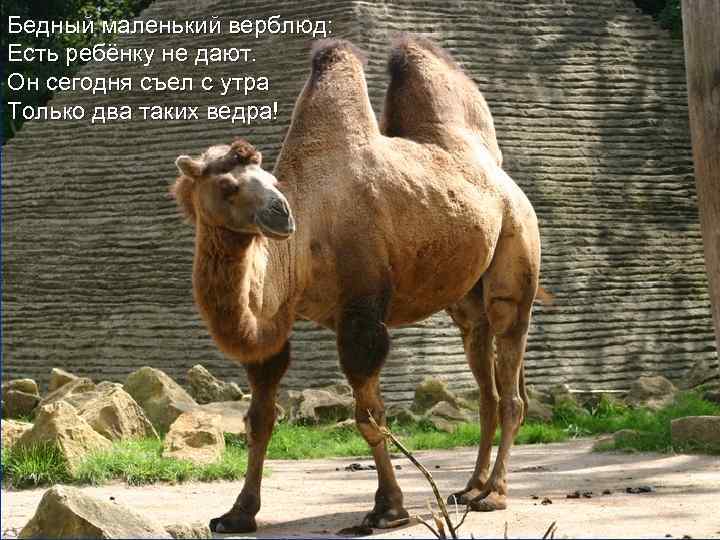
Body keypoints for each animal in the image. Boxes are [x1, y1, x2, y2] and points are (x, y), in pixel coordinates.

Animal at [171, 36, 541, 533]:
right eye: (228, 185)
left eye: (270, 180)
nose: (282, 214)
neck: (305, 242)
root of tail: (500, 174)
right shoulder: (274, 323)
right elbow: (260, 418)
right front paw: (237, 513)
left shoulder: (361, 313)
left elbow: (369, 417)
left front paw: (388, 509)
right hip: (468, 297)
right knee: (486, 379)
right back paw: (470, 488)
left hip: (516, 247)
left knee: (511, 369)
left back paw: (494, 495)